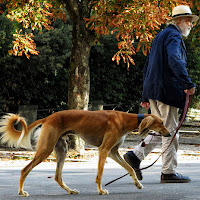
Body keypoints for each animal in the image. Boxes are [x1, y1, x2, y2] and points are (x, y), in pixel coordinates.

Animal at [0, 109, 170, 195]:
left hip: (61, 149)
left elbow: (130, 169)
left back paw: (70, 191)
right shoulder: (104, 149)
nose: (169, 134)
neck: (126, 119)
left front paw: (138, 184)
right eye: (161, 122)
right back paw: (21, 191)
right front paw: (101, 190)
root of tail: (49, 117)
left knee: (57, 176)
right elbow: (99, 174)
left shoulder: (113, 152)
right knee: (24, 170)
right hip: (46, 149)